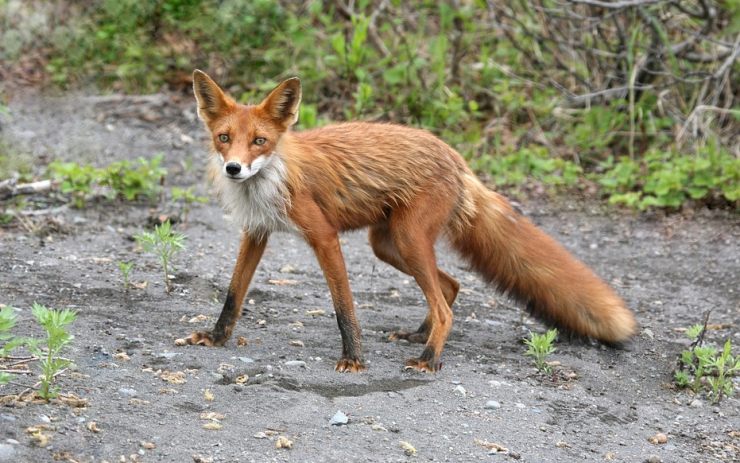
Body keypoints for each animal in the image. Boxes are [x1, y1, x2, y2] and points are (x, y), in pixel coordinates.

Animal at [179, 70, 636, 376]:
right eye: (224, 138)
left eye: (260, 141)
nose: (234, 168)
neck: (272, 178)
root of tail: (456, 158)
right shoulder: (256, 232)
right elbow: (233, 295)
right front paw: (217, 338)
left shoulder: (324, 236)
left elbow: (344, 306)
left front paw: (353, 358)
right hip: (388, 244)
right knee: (450, 287)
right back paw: (421, 336)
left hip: (409, 239)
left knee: (445, 304)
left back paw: (429, 358)